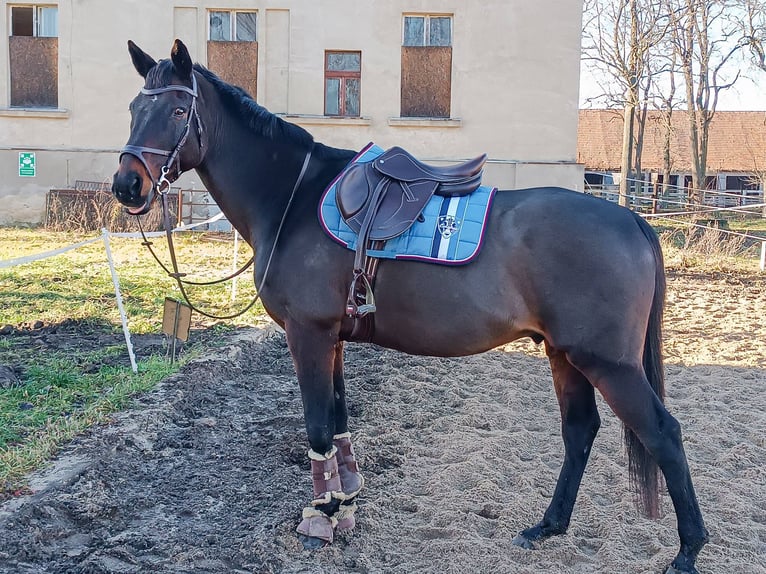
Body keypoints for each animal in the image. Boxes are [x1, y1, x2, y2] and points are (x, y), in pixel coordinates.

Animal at [112, 39, 708, 573]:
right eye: (135, 109)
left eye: (178, 110)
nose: (126, 185)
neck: (293, 199)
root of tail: (631, 219)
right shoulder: (334, 339)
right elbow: (340, 419)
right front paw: (346, 501)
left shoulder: (308, 334)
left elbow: (318, 426)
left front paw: (322, 516)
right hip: (565, 355)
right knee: (580, 431)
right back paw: (548, 526)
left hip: (609, 363)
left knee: (664, 434)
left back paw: (687, 551)